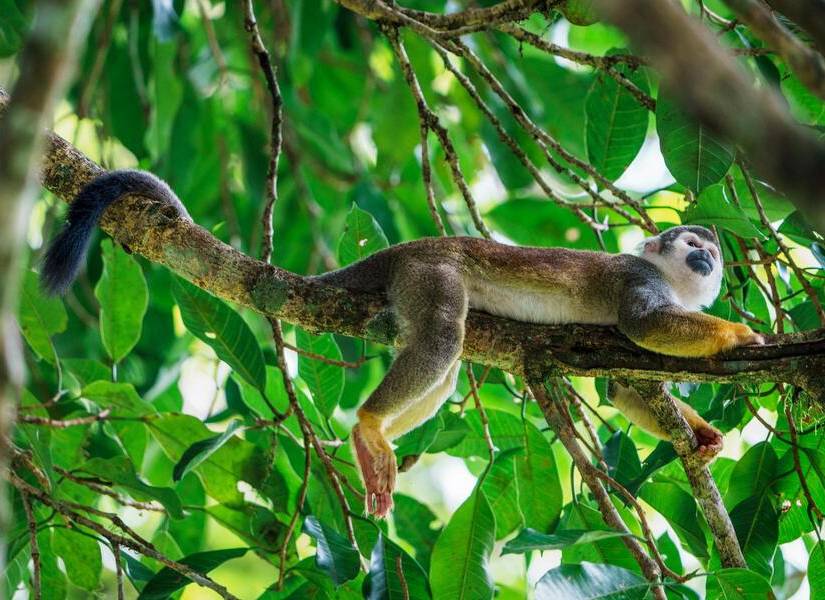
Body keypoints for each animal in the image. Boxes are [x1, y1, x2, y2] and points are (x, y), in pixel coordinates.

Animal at [41, 169, 764, 518]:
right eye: (689, 244)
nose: (705, 257)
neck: (674, 283)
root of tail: (406, 248)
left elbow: (621, 385)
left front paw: (700, 434)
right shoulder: (638, 279)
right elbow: (641, 327)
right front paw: (739, 333)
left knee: (443, 367)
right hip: (429, 273)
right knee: (443, 337)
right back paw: (367, 427)